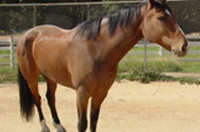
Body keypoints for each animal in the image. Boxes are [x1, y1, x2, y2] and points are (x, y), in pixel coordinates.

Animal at [16, 0, 188, 132]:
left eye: (172, 15)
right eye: (160, 17)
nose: (184, 46)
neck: (96, 50)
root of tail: (26, 35)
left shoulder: (100, 94)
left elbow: (94, 122)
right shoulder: (82, 94)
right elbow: (82, 124)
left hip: (51, 77)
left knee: (50, 98)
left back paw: (59, 126)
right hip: (31, 77)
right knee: (37, 99)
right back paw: (44, 127)